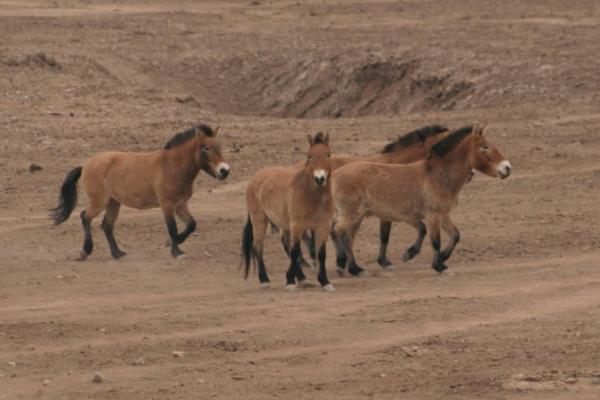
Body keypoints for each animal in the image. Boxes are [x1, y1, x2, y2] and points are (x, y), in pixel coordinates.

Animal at [51, 122, 230, 260]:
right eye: (206, 148)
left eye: (220, 146)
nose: (224, 171)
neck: (172, 166)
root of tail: (86, 165)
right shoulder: (166, 204)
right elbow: (172, 227)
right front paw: (176, 251)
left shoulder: (180, 204)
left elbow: (192, 224)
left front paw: (174, 243)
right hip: (99, 201)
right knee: (85, 217)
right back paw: (85, 251)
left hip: (113, 202)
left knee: (107, 225)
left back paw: (117, 253)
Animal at [244, 133, 338, 292]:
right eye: (310, 156)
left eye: (328, 154)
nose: (320, 179)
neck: (311, 194)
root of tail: (255, 177)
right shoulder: (297, 225)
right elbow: (295, 252)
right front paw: (289, 282)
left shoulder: (323, 226)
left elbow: (320, 254)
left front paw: (325, 282)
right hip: (259, 220)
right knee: (258, 247)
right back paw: (265, 280)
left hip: (285, 225)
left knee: (285, 245)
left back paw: (302, 279)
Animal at [332, 125, 510, 276]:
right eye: (485, 146)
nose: (507, 168)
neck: (437, 175)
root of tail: (333, 175)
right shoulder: (431, 216)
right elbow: (435, 240)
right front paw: (438, 266)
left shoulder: (441, 215)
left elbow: (454, 234)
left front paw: (439, 257)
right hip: (351, 215)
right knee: (339, 233)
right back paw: (348, 267)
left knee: (344, 236)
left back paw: (351, 267)